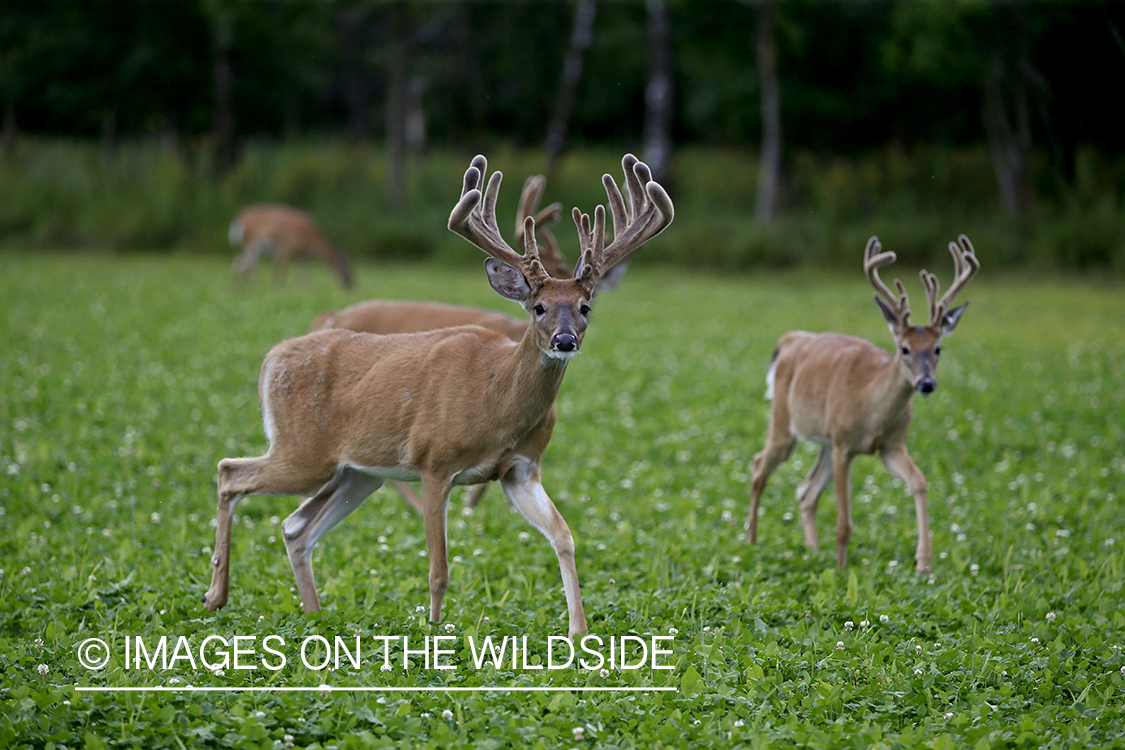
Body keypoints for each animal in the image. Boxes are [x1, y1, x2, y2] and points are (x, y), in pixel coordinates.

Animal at [202, 155, 670, 638]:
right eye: (538, 307)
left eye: (585, 307)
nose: (564, 341)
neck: (497, 401)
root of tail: (272, 356)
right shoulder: (434, 461)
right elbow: (439, 569)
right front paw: (433, 630)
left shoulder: (520, 470)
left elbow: (564, 537)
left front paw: (578, 631)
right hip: (304, 452)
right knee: (230, 472)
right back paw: (215, 596)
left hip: (356, 473)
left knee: (296, 526)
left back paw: (314, 616)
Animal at [747, 236, 976, 575]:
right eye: (904, 348)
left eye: (938, 349)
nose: (926, 384)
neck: (872, 411)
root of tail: (790, 339)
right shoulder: (844, 447)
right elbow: (844, 523)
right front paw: (842, 572)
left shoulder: (890, 446)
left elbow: (920, 481)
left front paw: (924, 562)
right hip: (785, 424)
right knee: (760, 465)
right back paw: (751, 541)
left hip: (825, 442)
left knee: (805, 491)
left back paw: (812, 552)